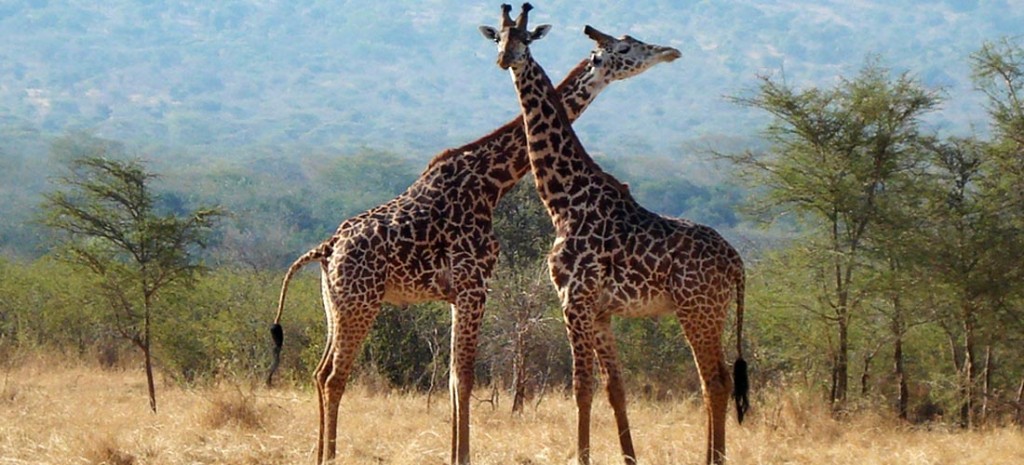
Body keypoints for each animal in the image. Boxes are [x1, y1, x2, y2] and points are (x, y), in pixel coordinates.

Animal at [266, 22, 681, 465]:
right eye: (627, 49)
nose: (669, 52)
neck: (491, 180)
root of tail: (326, 249)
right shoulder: (474, 284)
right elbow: (463, 378)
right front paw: (461, 455)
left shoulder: (455, 293)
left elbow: (452, 378)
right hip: (360, 302)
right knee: (333, 377)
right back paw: (330, 456)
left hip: (336, 303)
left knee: (319, 372)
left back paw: (319, 453)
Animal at [480, 4, 749, 464]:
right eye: (498, 37)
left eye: (525, 39)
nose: (504, 60)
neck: (563, 200)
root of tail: (737, 263)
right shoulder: (601, 311)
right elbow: (614, 389)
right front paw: (628, 457)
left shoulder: (574, 300)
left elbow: (581, 388)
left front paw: (582, 456)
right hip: (709, 311)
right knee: (720, 380)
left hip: (698, 309)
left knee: (714, 381)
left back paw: (713, 458)